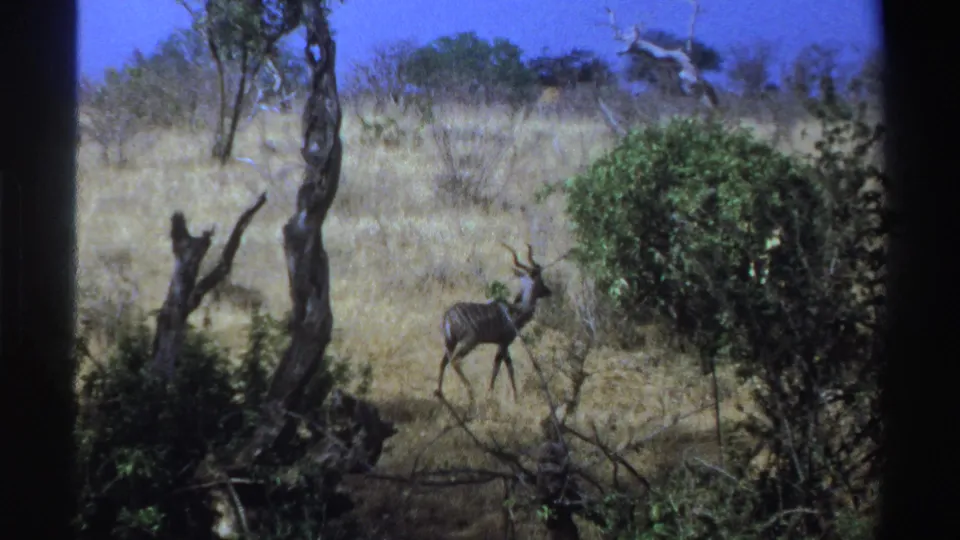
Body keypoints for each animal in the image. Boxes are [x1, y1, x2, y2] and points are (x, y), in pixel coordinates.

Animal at [436, 243, 553, 406]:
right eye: (540, 279)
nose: (549, 291)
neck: (517, 310)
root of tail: (447, 315)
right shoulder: (504, 342)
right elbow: (503, 367)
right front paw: (506, 396)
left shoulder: (502, 344)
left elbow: (502, 366)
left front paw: (501, 394)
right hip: (470, 341)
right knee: (455, 361)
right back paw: (471, 392)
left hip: (450, 342)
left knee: (443, 362)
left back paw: (440, 394)